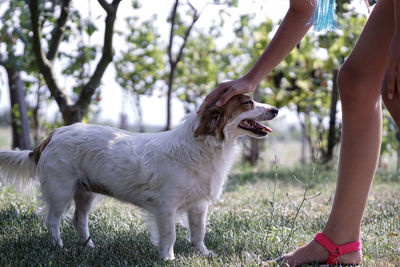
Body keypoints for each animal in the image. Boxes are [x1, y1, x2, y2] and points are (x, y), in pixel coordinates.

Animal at [0, 94, 278, 260]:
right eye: (248, 103)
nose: (276, 109)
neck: (202, 147)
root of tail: (53, 135)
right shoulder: (166, 206)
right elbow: (170, 235)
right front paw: (168, 258)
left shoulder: (198, 206)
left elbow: (199, 232)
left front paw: (204, 254)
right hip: (61, 191)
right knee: (52, 221)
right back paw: (59, 247)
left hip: (85, 193)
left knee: (79, 221)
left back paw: (89, 247)